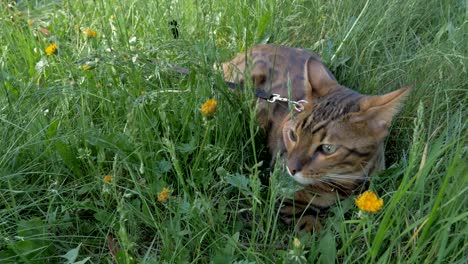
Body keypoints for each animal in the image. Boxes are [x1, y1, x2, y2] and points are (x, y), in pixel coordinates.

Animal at [223, 44, 410, 232]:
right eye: (293, 135)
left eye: (328, 148)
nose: (290, 168)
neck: (347, 182)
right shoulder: (287, 199)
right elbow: (310, 228)